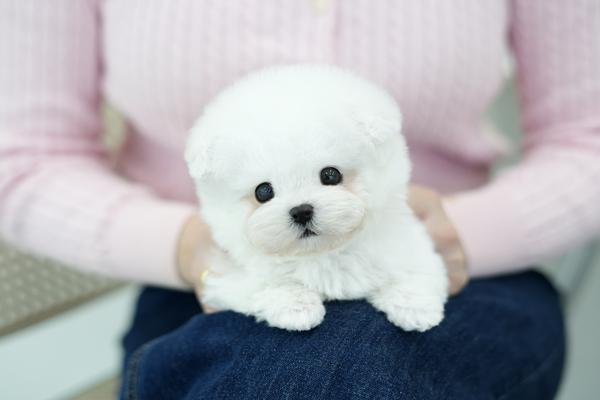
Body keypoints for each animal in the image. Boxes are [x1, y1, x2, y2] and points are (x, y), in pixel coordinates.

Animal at [185, 65, 448, 332]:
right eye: (263, 191)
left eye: (330, 175)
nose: (301, 211)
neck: (323, 253)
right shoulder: (227, 273)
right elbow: (264, 283)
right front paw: (296, 307)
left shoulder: (407, 243)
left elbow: (413, 268)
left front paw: (415, 307)